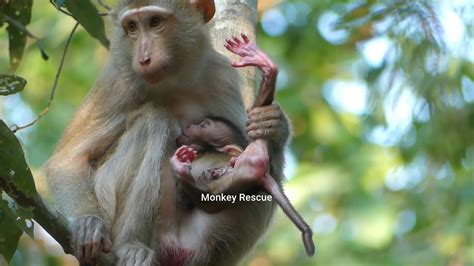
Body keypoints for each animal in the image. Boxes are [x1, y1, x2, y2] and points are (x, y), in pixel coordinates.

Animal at [45, 0, 288, 266]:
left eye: (155, 22)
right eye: (132, 27)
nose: (143, 57)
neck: (172, 80)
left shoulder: (220, 74)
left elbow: (242, 143)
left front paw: (273, 124)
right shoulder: (117, 82)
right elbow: (68, 160)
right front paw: (89, 223)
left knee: (266, 180)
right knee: (154, 121)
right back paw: (131, 245)